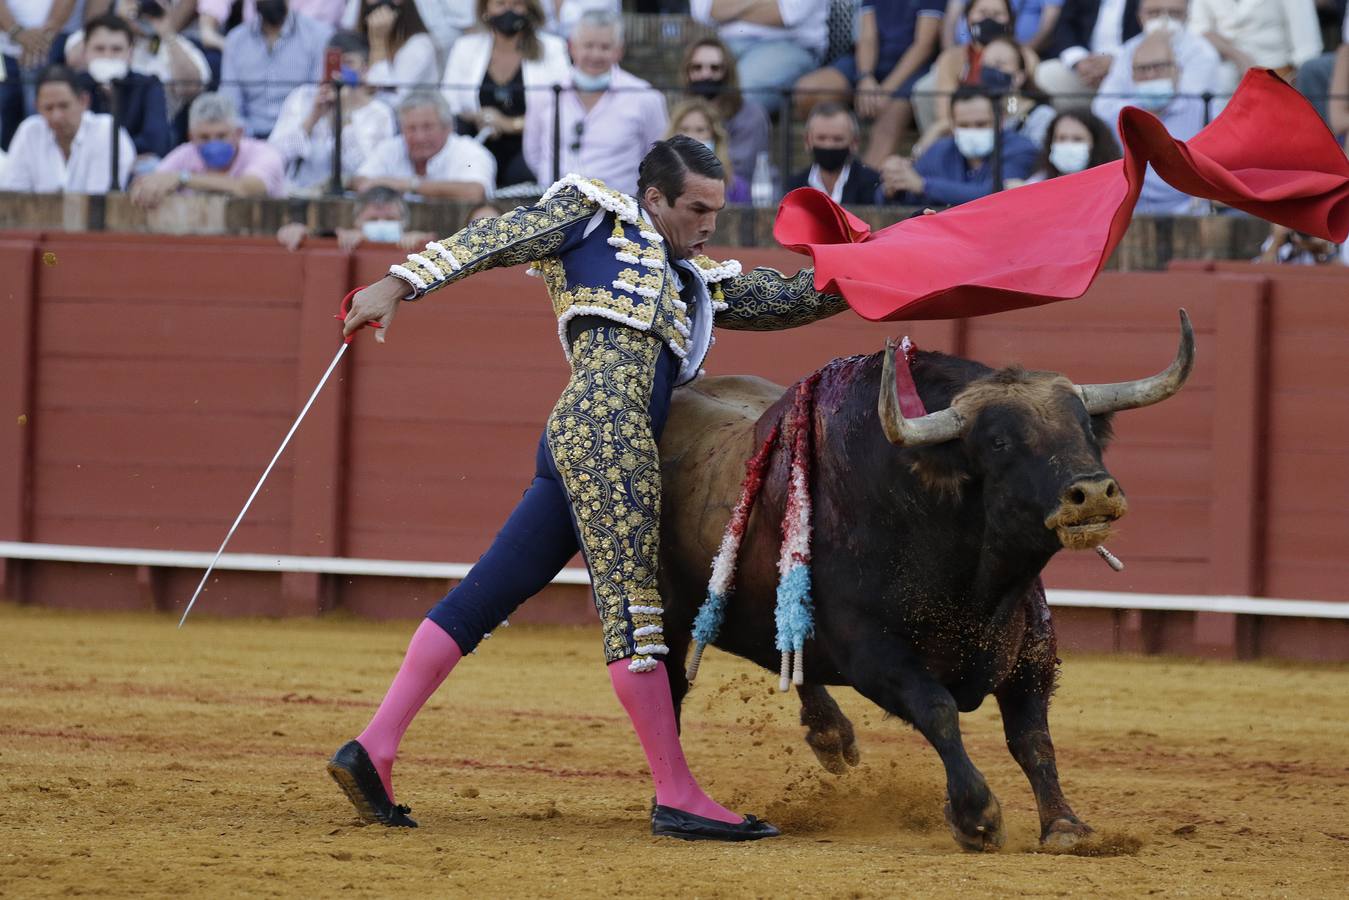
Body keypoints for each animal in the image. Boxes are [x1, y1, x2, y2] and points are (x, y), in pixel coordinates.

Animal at [652, 311, 1192, 852]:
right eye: (999, 442)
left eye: (1085, 430)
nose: (1094, 493)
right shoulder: (874, 656)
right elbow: (939, 710)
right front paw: (977, 816)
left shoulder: (1032, 655)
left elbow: (1032, 737)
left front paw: (1065, 824)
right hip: (667, 619)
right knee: (670, 690)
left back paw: (830, 736)